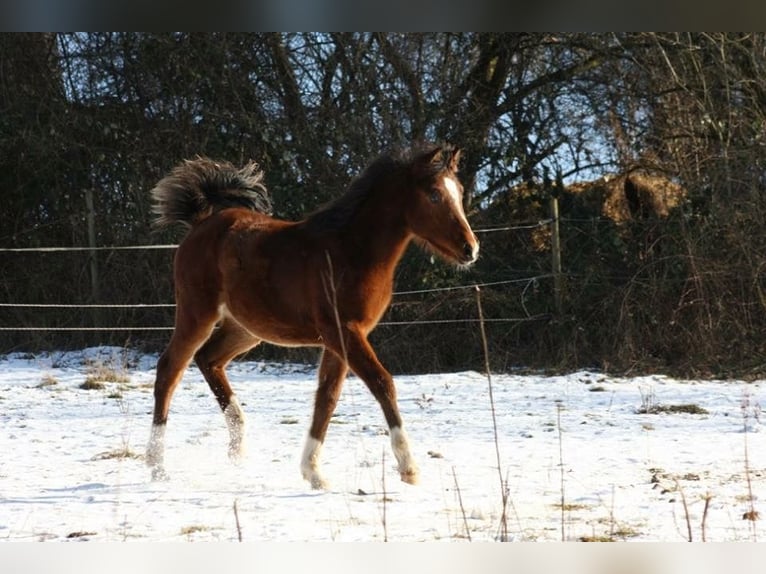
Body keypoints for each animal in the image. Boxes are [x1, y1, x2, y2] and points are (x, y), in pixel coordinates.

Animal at [146, 144, 479, 489]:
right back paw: (157, 466)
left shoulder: (342, 339)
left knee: (208, 360)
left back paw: (237, 448)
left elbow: (327, 397)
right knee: (170, 370)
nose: (470, 249)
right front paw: (409, 468)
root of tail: (200, 224)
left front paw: (313, 472)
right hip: (197, 314)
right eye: (434, 195)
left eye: (459, 193)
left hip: (245, 328)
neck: (351, 252)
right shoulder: (343, 332)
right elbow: (382, 383)